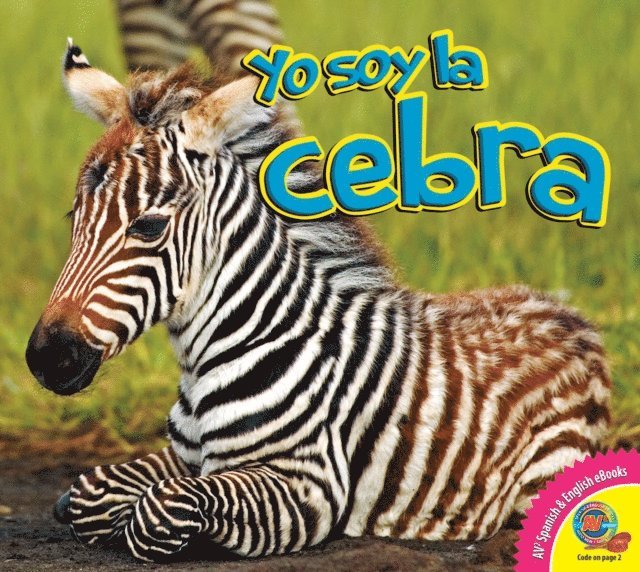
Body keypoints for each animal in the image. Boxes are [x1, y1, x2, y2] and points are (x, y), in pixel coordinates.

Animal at [24, 40, 611, 562]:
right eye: (74, 218)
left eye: (147, 227)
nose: (47, 358)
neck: (227, 346)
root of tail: (564, 312)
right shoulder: (184, 456)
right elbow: (91, 490)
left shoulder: (311, 482)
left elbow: (157, 512)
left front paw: (196, 537)